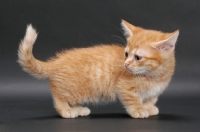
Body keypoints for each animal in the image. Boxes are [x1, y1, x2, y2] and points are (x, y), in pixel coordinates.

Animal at [18, 19, 179, 118]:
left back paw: (78, 109)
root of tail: (56, 61)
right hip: (72, 89)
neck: (154, 76)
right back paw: (66, 110)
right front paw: (139, 110)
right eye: (126, 54)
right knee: (59, 96)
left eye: (138, 57)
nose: (126, 64)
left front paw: (149, 108)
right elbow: (133, 100)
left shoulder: (154, 91)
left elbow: (150, 99)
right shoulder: (124, 87)